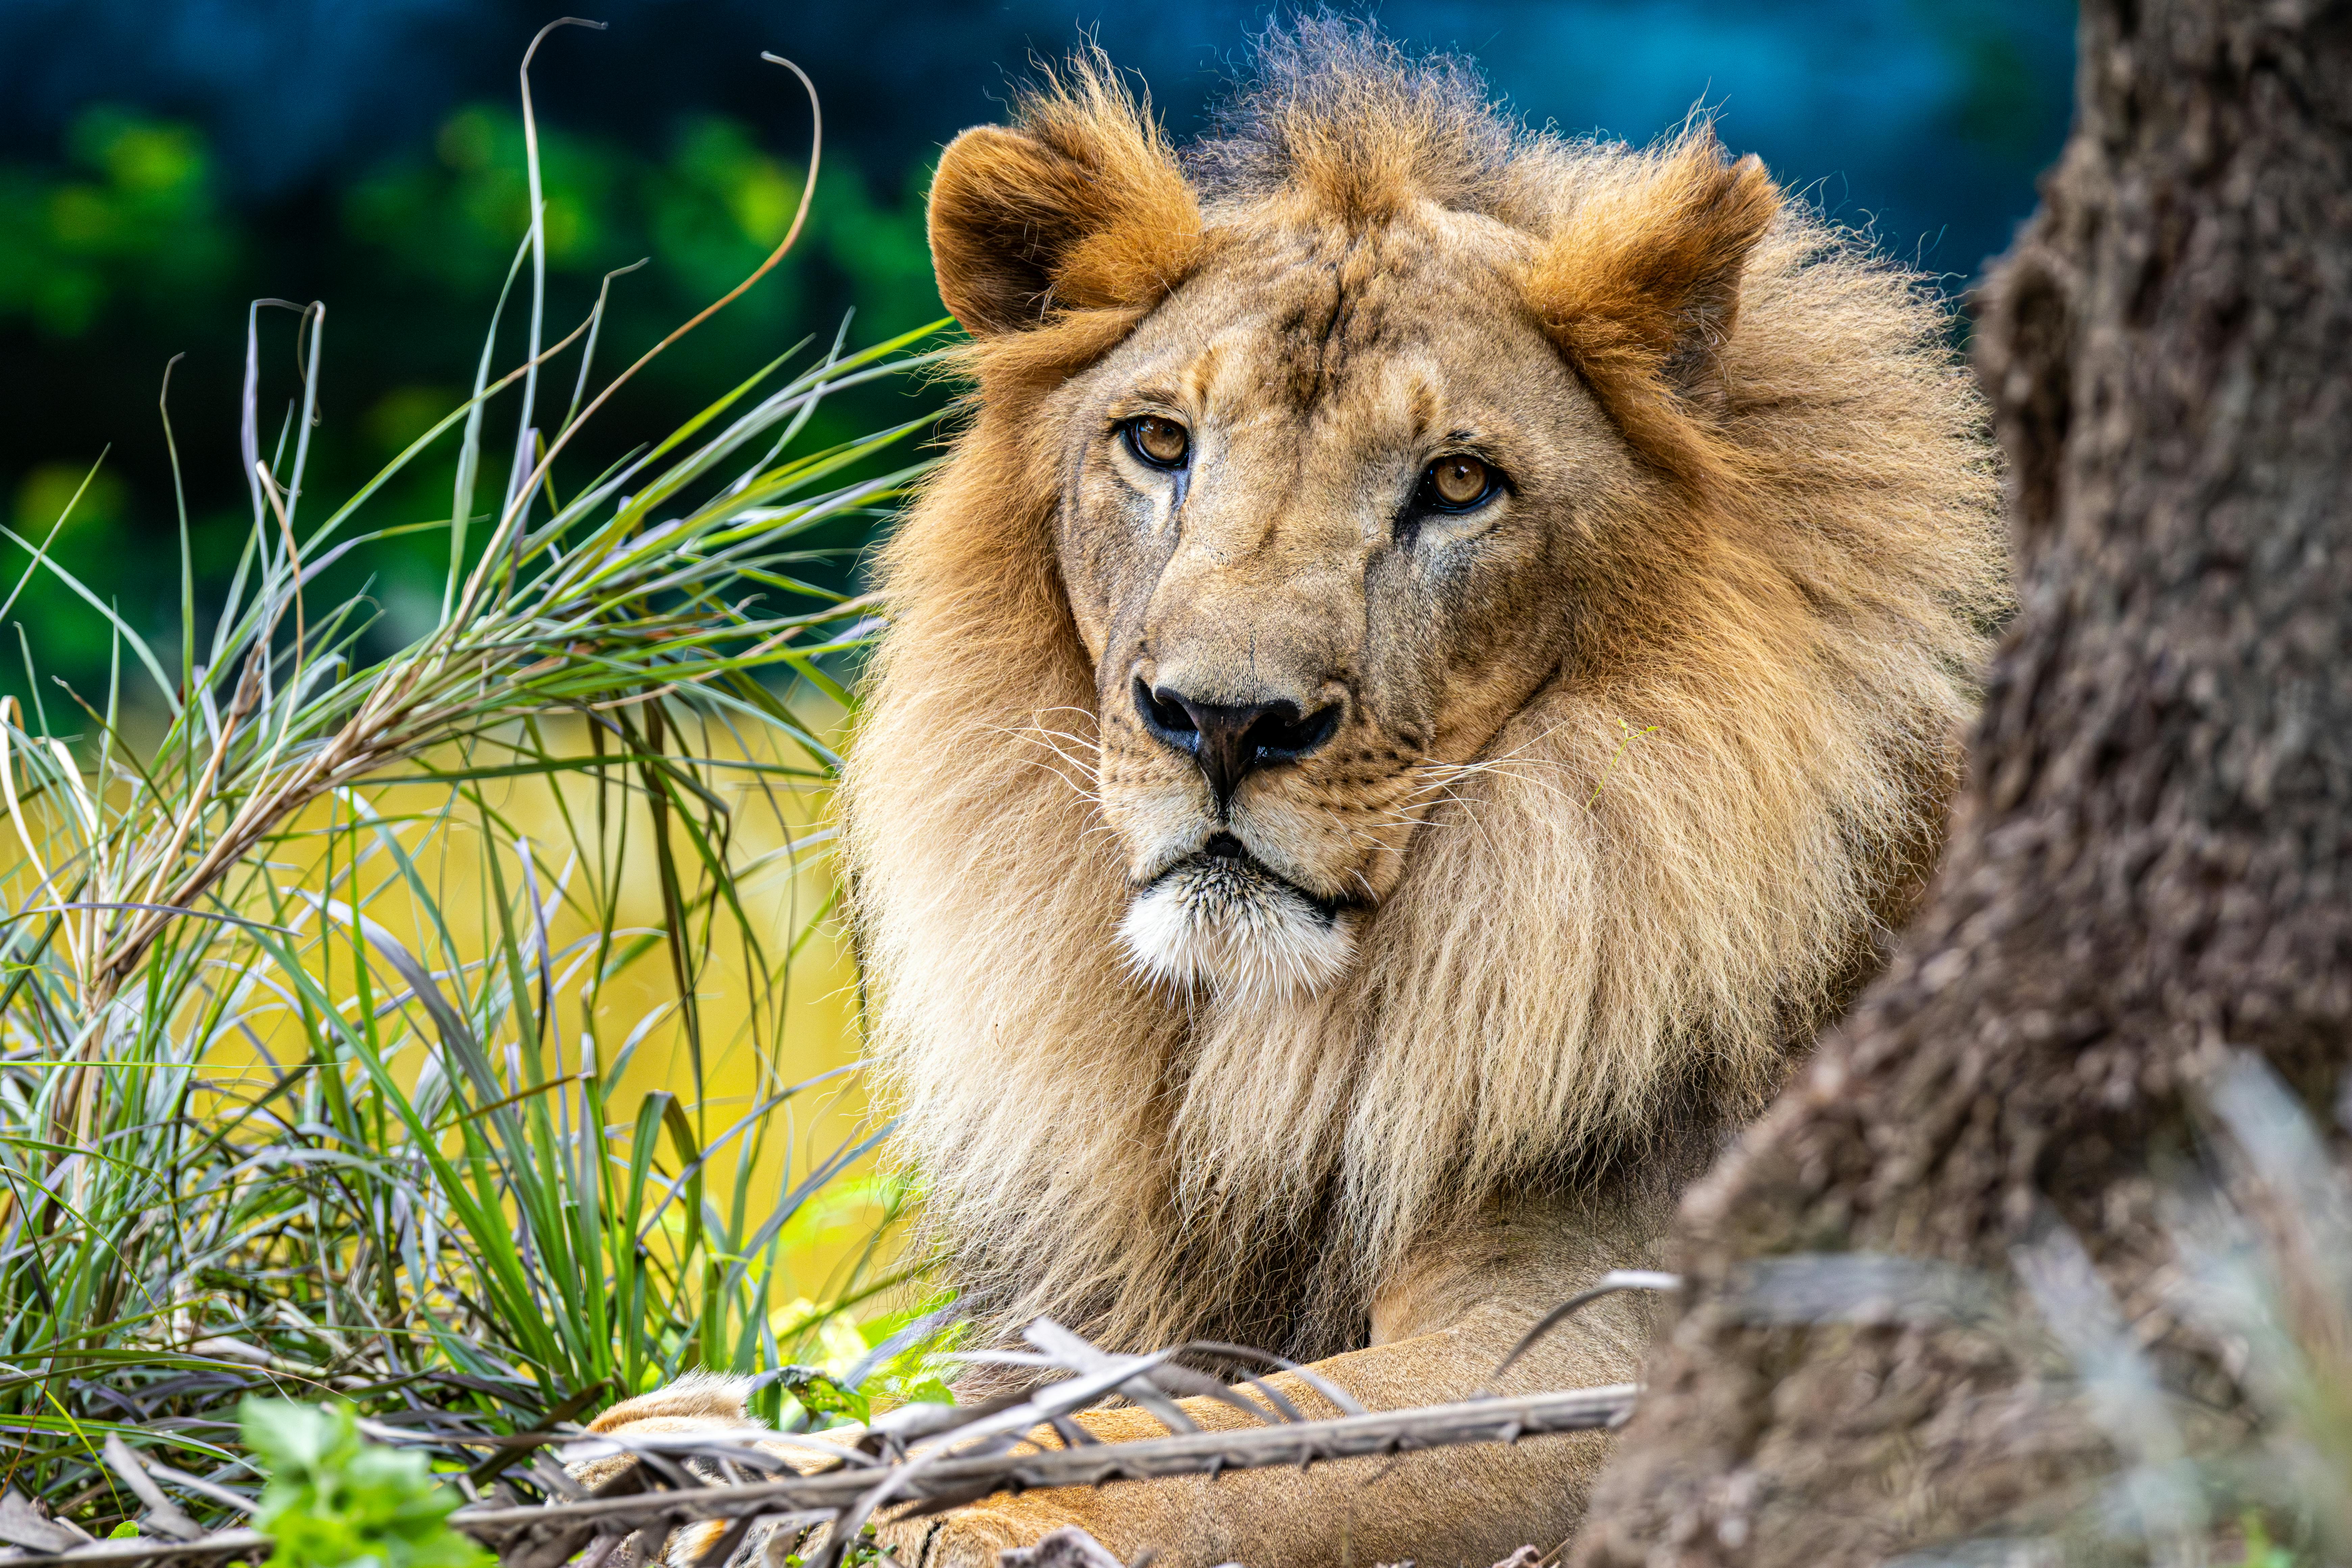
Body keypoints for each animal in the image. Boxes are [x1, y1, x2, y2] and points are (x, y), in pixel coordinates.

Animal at [587, 18, 2005, 1567]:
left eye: (1459, 482)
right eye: (1158, 443)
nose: (1222, 720)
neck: (1281, 1043)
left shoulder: (1605, 1347)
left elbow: (1202, 1447)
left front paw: (831, 1504)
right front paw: (682, 1435)